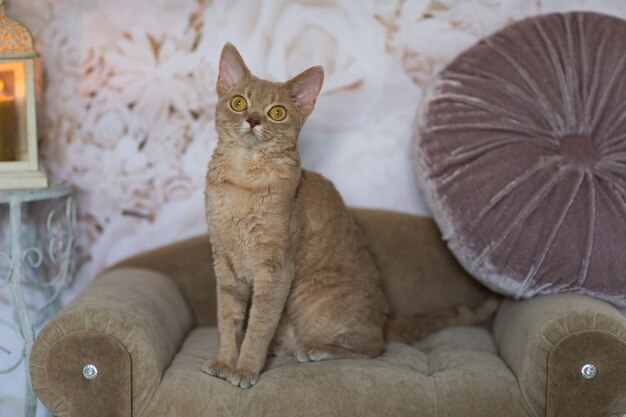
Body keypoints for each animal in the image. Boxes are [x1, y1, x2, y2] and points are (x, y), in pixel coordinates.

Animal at [202, 44, 388, 388]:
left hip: (313, 295)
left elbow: (257, 328)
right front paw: (224, 362)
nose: (252, 119)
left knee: (372, 346)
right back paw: (283, 344)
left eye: (277, 112)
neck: (243, 181)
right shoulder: (225, 263)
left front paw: (245, 370)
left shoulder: (276, 271)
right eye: (238, 102)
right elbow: (228, 321)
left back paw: (315, 348)